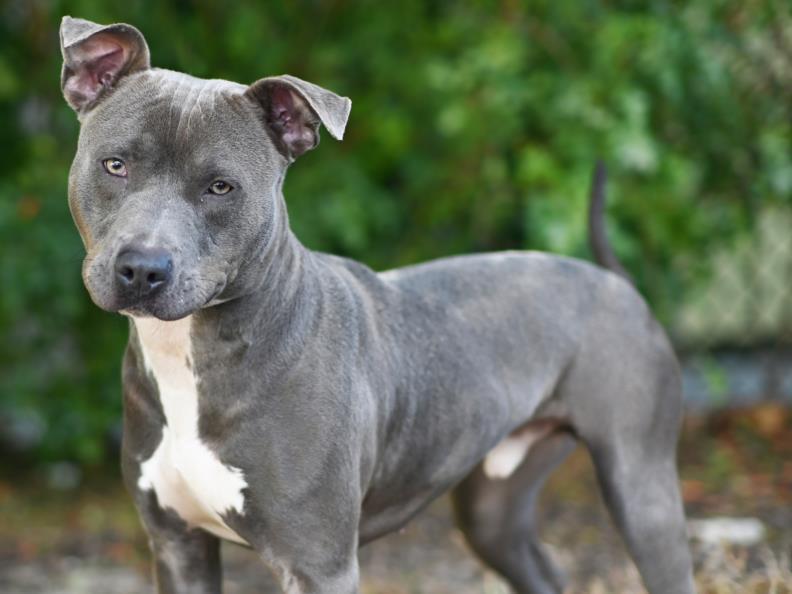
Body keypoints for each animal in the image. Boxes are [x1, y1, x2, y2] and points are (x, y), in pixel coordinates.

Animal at [60, 16, 692, 588]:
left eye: (221, 187)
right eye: (115, 164)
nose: (143, 268)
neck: (192, 354)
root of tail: (615, 282)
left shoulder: (318, 564)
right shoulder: (177, 545)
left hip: (642, 490)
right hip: (492, 513)